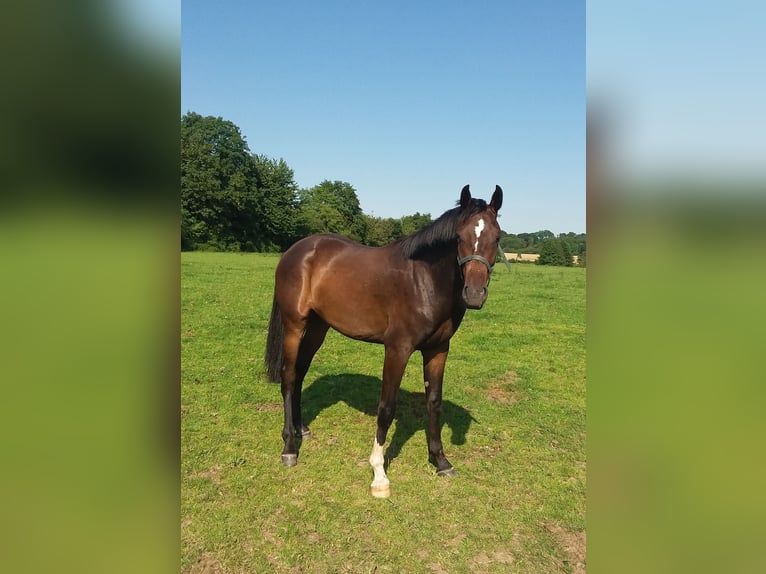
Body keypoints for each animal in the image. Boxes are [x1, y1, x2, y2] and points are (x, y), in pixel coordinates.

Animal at [264, 186, 504, 500]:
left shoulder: (438, 350)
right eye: (459, 237)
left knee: (301, 373)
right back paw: (290, 447)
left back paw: (300, 428)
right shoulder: (397, 350)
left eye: (497, 237)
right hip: (295, 326)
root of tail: (295, 250)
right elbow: (387, 407)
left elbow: (434, 402)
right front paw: (379, 474)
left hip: (318, 327)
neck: (423, 281)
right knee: (289, 377)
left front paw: (440, 461)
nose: (474, 294)